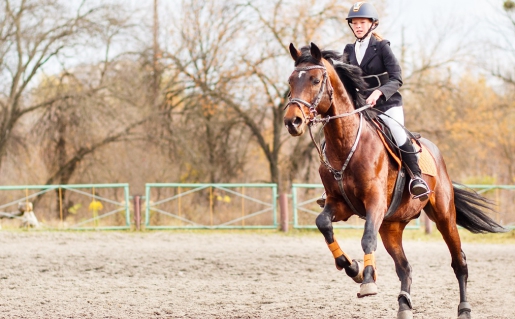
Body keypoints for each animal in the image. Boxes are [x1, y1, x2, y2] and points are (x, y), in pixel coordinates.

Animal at [284, 43, 506, 319]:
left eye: (315, 80)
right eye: (290, 81)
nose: (292, 121)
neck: (345, 142)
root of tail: (436, 153)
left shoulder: (375, 202)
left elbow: (367, 237)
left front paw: (367, 280)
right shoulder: (339, 204)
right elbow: (323, 223)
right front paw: (352, 268)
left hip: (444, 216)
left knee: (459, 261)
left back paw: (464, 308)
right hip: (391, 226)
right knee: (405, 267)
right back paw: (403, 305)